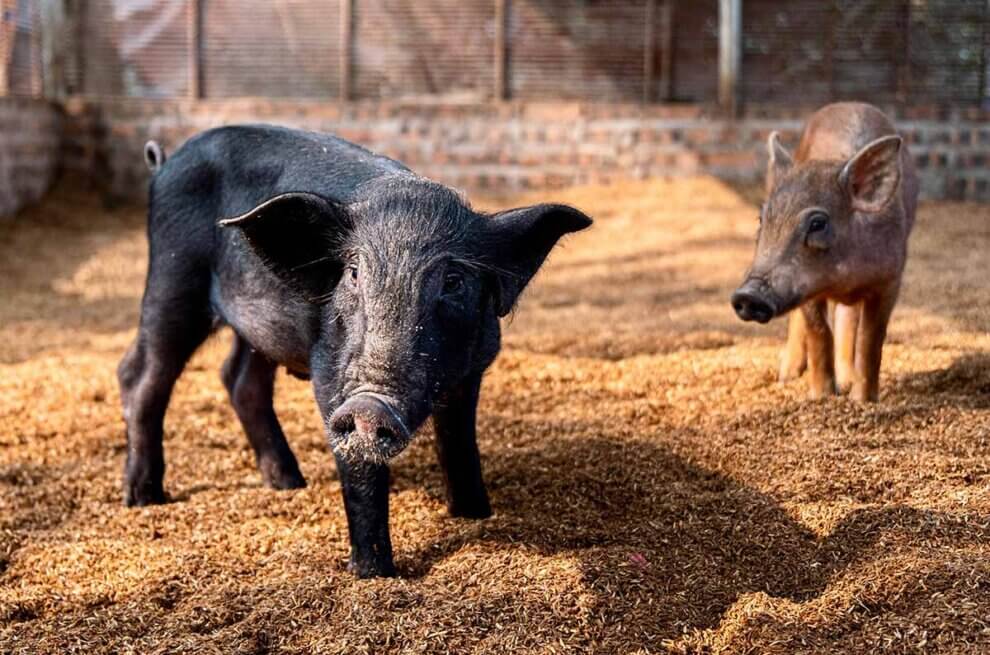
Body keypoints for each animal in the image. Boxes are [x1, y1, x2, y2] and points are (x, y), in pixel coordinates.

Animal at [120, 125, 592, 576]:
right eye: (352, 273)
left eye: (454, 281)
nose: (370, 404)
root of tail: (165, 163)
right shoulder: (330, 368)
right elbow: (361, 471)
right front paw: (374, 573)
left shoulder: (471, 369)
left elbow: (459, 444)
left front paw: (476, 514)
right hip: (172, 275)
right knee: (141, 375)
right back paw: (144, 498)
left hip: (253, 326)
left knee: (238, 379)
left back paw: (289, 482)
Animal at [728, 102, 924, 402]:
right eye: (761, 219)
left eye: (817, 224)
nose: (748, 295)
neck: (841, 280)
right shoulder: (808, 289)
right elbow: (818, 331)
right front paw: (821, 397)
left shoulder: (890, 279)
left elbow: (870, 339)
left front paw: (862, 400)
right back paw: (787, 376)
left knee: (847, 318)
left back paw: (846, 381)